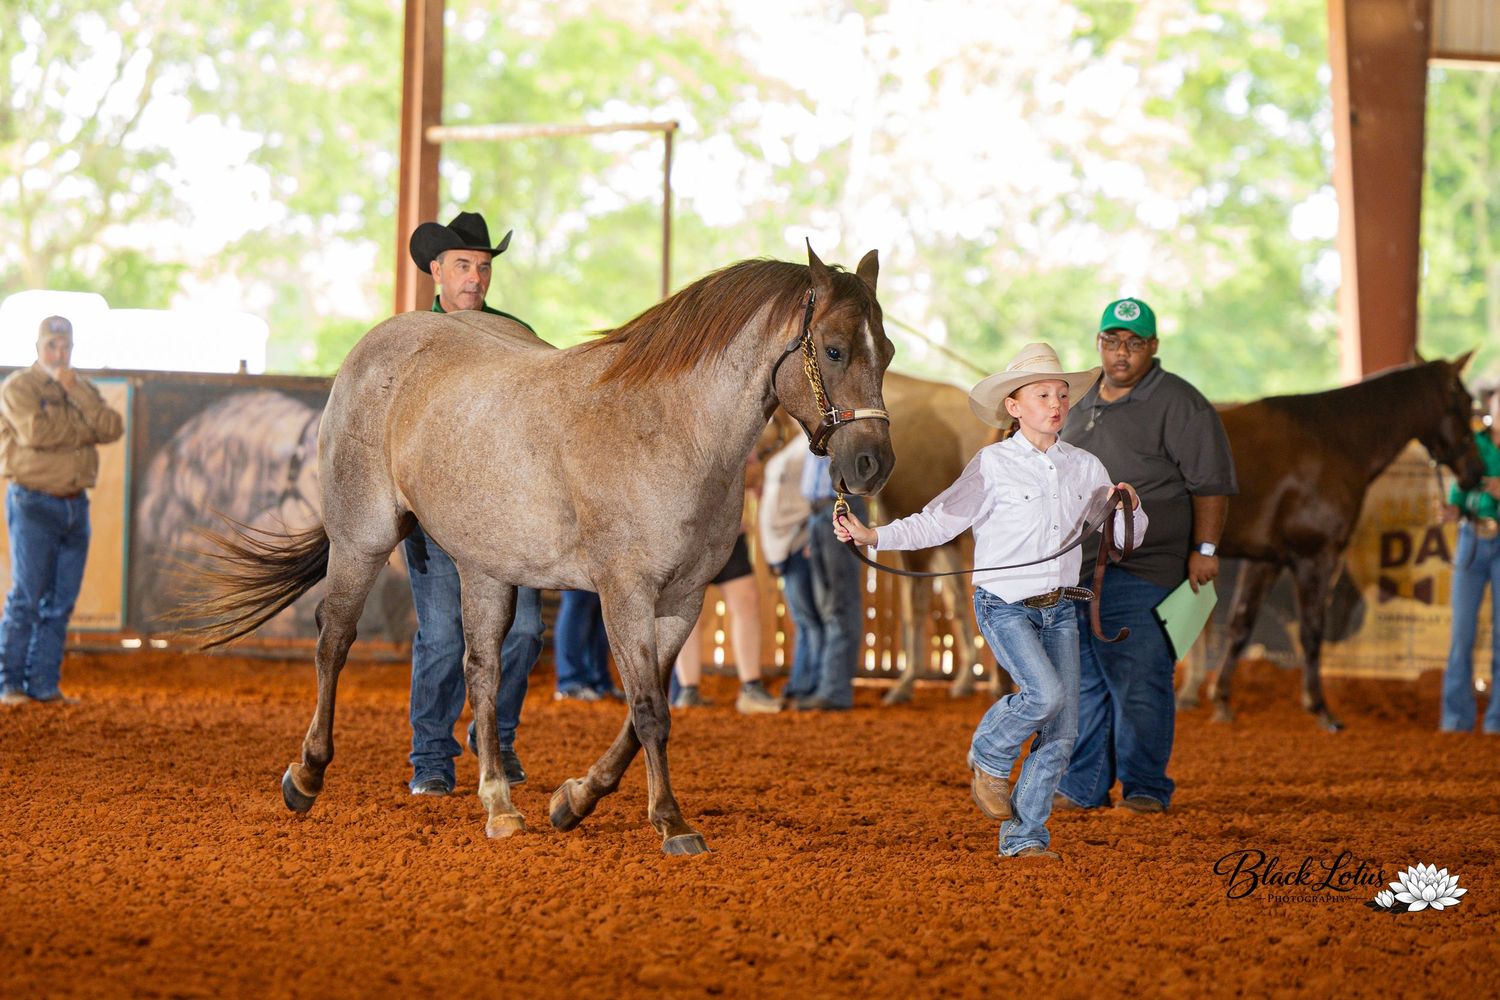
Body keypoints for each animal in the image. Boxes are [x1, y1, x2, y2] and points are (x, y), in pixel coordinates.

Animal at [188, 245, 895, 855]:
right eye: (834, 349)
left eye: (885, 351)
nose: (872, 465)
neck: (668, 427)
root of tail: (376, 345)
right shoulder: (624, 593)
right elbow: (649, 711)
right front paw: (671, 824)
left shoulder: (683, 601)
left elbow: (641, 713)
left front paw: (573, 800)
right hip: (361, 538)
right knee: (334, 638)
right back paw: (307, 775)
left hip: (484, 566)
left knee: (482, 667)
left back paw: (499, 803)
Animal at [1176, 354, 1484, 731]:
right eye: (1466, 402)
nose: (1477, 471)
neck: (1333, 439)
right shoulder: (1315, 557)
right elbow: (1312, 632)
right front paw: (1321, 709)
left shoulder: (1266, 560)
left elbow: (1240, 626)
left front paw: (1221, 703)